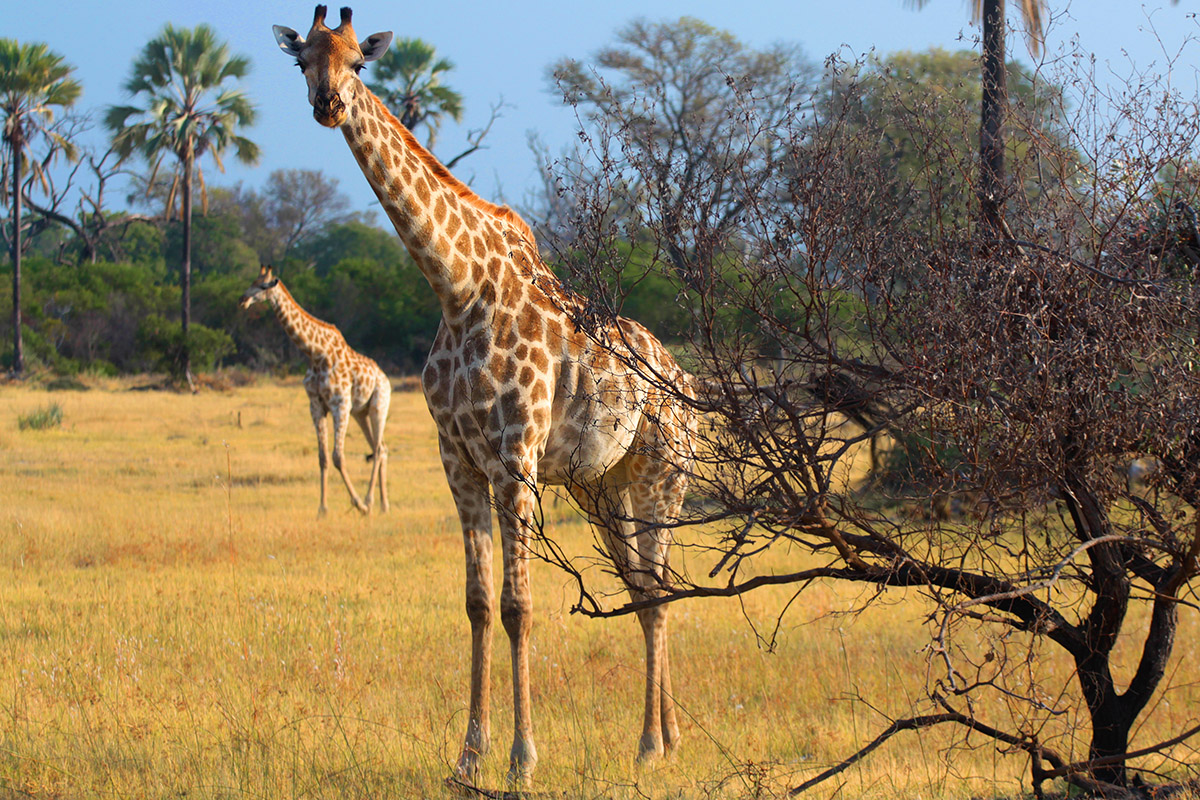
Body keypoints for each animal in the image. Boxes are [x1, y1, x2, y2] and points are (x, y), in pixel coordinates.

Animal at [241, 266, 391, 515]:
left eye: (262, 286)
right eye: (251, 282)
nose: (242, 300)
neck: (315, 353)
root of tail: (385, 377)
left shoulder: (340, 404)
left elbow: (338, 456)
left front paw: (358, 504)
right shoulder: (316, 405)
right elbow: (323, 458)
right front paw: (322, 509)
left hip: (379, 406)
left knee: (378, 449)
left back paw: (369, 502)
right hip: (360, 413)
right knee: (381, 448)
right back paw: (384, 504)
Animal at [273, 6, 700, 786]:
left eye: (359, 62)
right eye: (303, 61)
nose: (328, 104)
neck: (456, 287)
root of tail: (683, 382)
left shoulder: (515, 458)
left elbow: (518, 606)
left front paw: (521, 762)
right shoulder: (459, 461)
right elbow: (475, 605)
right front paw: (467, 759)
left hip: (663, 473)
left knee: (658, 588)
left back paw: (653, 745)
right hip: (603, 485)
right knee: (642, 590)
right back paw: (662, 741)